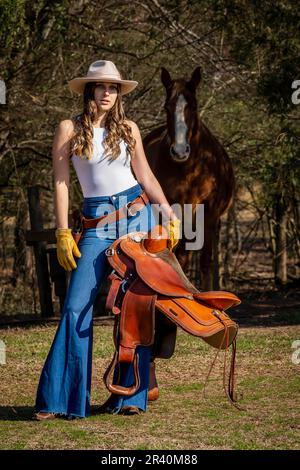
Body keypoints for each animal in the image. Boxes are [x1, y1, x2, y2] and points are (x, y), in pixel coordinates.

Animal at [142, 64, 236, 288]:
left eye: (193, 106)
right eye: (167, 107)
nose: (179, 151)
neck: (190, 169)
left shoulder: (209, 215)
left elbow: (205, 261)